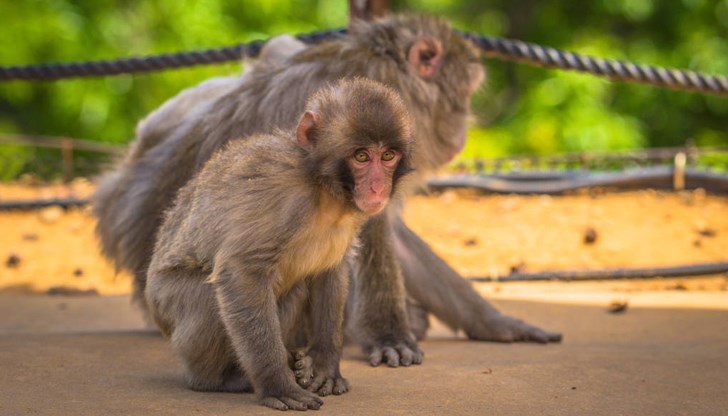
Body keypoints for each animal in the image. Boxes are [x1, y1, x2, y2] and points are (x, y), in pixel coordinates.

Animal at [94, 14, 560, 368]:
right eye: (463, 95)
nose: (464, 129)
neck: (381, 64)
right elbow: (370, 231)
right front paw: (390, 334)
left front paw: (492, 321)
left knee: (274, 49)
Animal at [145, 78, 412, 410]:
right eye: (362, 157)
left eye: (388, 156)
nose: (377, 187)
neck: (322, 188)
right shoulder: (280, 194)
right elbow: (240, 273)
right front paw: (277, 384)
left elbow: (330, 272)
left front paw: (325, 366)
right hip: (168, 300)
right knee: (212, 300)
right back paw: (219, 379)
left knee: (296, 287)